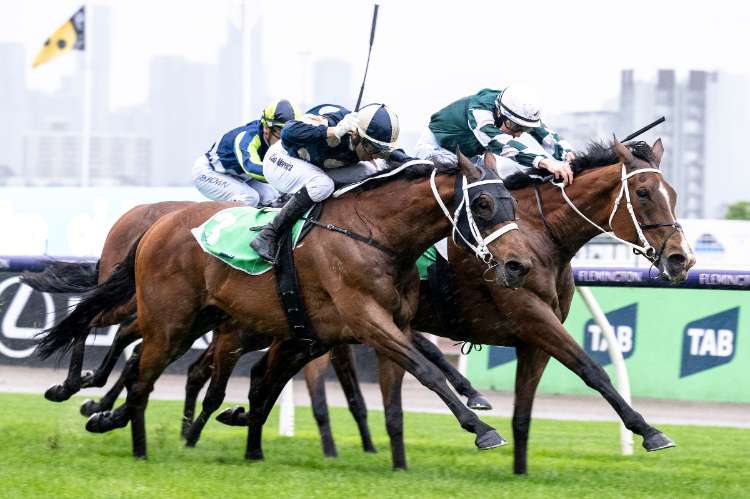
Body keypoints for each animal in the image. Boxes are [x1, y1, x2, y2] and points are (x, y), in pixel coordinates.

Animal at [35, 153, 532, 459]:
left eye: (511, 200)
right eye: (482, 203)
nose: (519, 264)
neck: (375, 234)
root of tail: (158, 222)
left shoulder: (355, 327)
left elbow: (266, 388)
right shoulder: (367, 321)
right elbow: (425, 368)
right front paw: (481, 428)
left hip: (194, 319)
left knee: (139, 357)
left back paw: (104, 411)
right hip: (167, 315)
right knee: (116, 336)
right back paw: (85, 394)